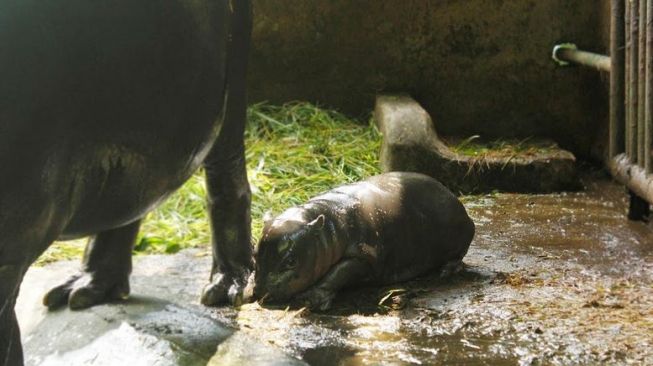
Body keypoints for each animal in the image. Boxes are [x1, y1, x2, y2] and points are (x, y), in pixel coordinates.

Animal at [1, 0, 253, 364]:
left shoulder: (8, 258)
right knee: (130, 199)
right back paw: (82, 291)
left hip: (231, 82)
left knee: (227, 174)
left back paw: (227, 288)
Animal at [251, 172, 474, 308]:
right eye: (254, 254)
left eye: (291, 261)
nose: (260, 291)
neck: (327, 225)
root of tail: (453, 197)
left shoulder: (365, 255)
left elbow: (338, 272)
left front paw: (311, 299)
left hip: (460, 235)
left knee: (460, 253)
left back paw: (447, 271)